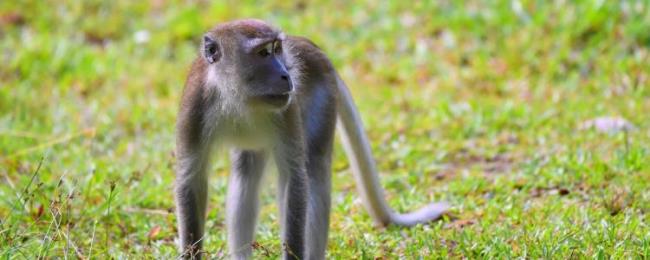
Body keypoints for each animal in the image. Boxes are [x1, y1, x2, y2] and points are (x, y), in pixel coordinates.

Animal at [173, 18, 446, 260]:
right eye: (263, 53)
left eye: (277, 49)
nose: (286, 74)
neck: (236, 97)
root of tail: (310, 46)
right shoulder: (195, 107)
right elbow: (191, 179)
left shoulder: (287, 109)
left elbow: (295, 177)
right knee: (246, 170)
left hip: (322, 95)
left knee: (313, 166)